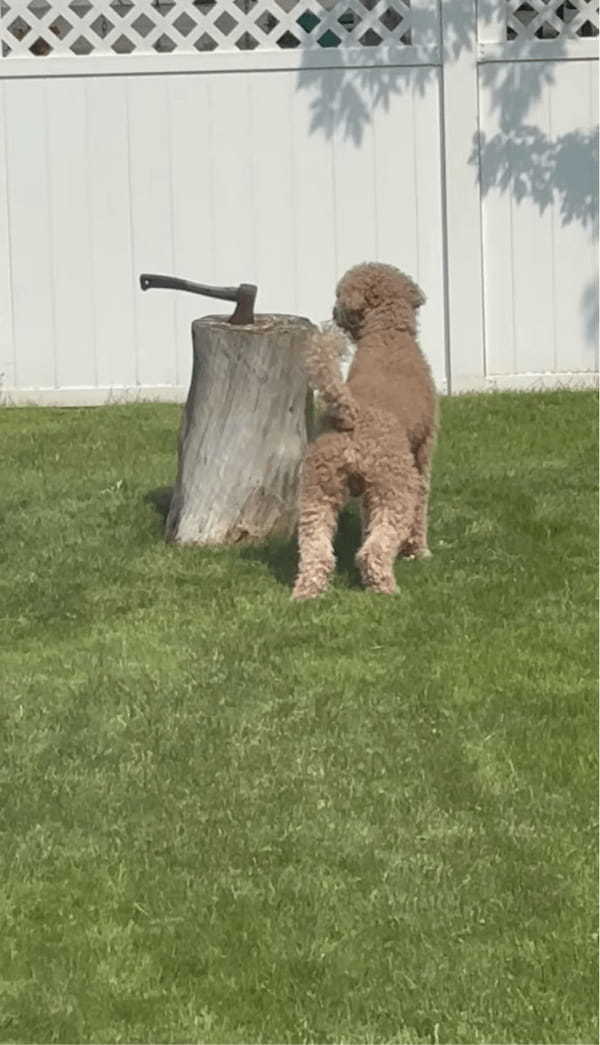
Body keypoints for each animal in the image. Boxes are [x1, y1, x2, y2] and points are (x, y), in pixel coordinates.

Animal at [294, 261, 439, 601]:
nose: (333, 311)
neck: (386, 334)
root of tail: (351, 415)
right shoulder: (423, 453)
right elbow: (421, 509)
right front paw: (419, 551)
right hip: (396, 486)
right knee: (374, 551)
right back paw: (385, 588)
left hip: (318, 490)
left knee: (316, 551)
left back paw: (307, 594)